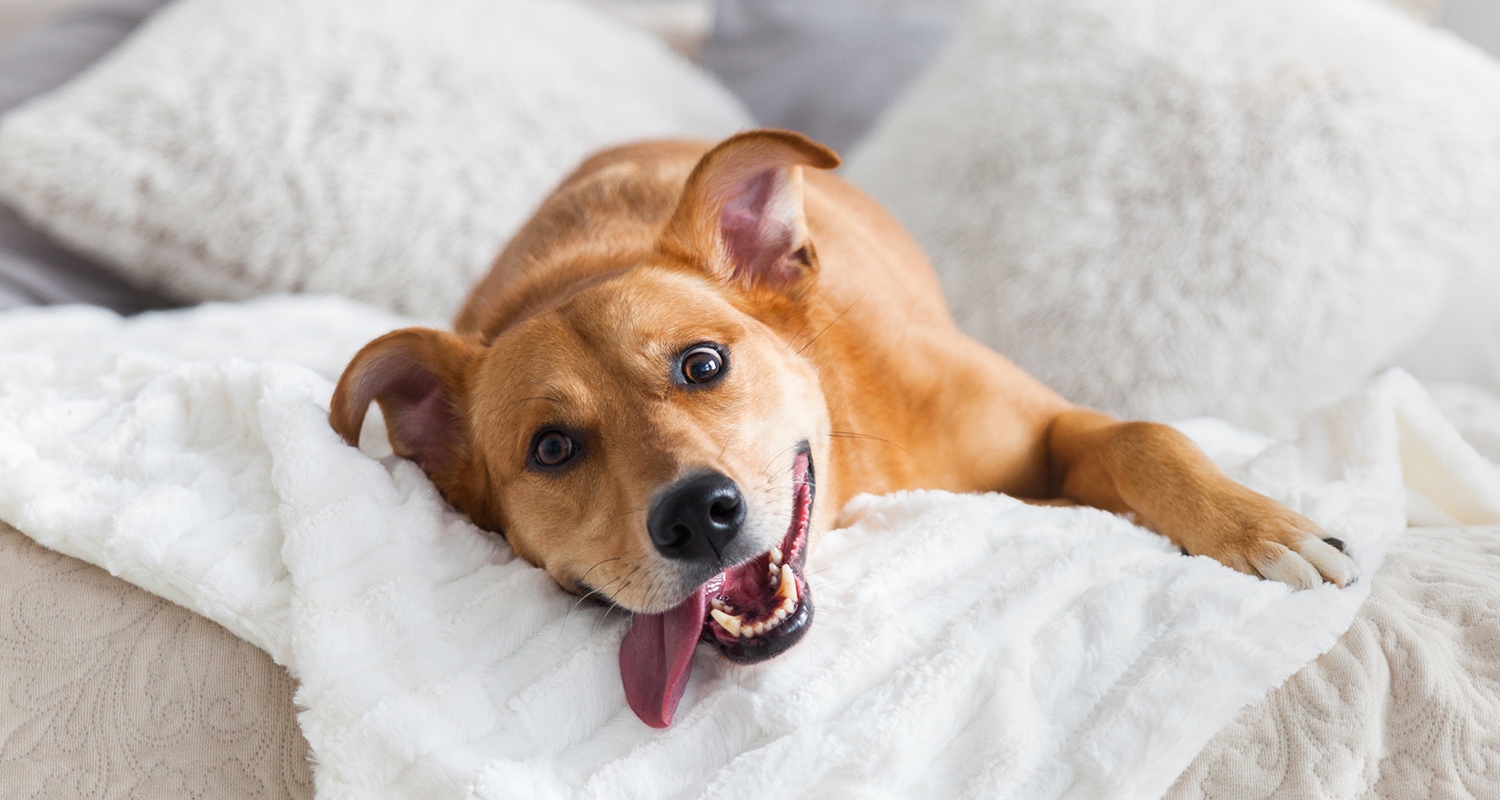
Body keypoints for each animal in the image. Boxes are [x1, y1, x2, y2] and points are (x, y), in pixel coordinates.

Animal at [331, 127, 1362, 726]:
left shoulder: (1052, 427)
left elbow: (1145, 434)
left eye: (701, 364)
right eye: (552, 449)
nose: (695, 515)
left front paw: (1260, 527)